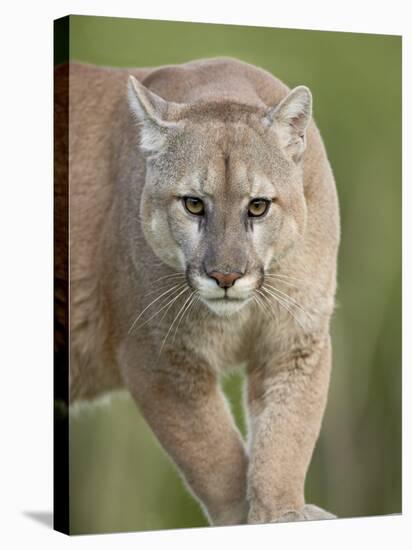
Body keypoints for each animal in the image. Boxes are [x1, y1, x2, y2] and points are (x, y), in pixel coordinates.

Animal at [53, 58, 340, 528]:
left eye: (257, 206)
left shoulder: (296, 342)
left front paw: (281, 512)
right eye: (192, 204)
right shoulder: (159, 358)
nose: (225, 276)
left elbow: (287, 435)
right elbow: (214, 454)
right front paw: (244, 518)